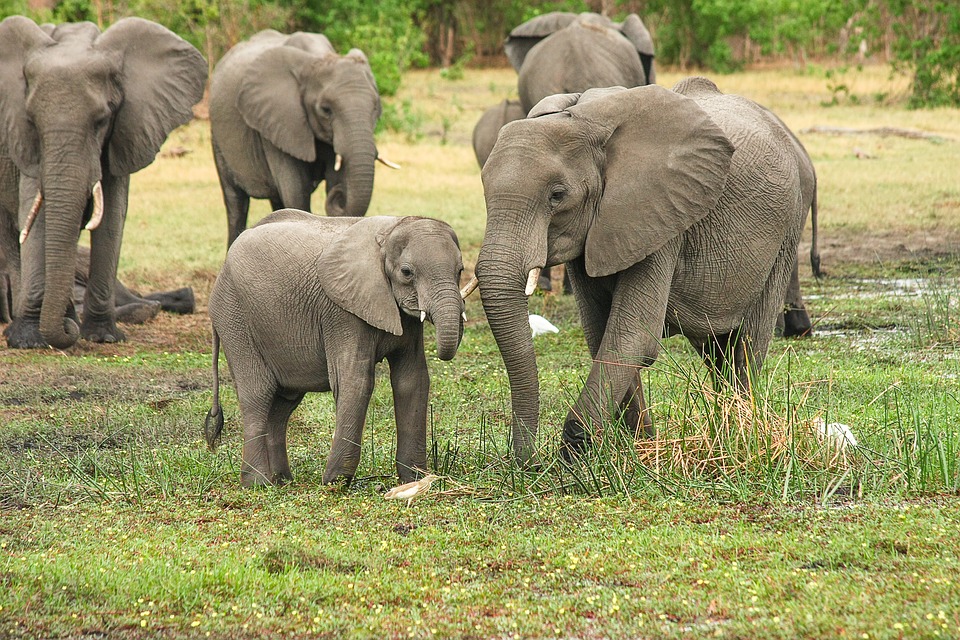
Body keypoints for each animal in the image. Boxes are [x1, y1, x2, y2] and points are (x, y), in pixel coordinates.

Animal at [0, 16, 208, 350]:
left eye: (101, 121)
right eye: (31, 121)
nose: (67, 332)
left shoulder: (125, 130)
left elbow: (112, 217)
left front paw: (102, 336)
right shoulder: (24, 142)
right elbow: (36, 214)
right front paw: (28, 340)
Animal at [204, 209, 466, 484]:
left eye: (460, 271)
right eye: (406, 272)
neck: (390, 231)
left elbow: (412, 380)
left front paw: (415, 479)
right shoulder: (342, 312)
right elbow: (355, 381)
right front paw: (335, 482)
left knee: (283, 403)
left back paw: (282, 480)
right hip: (234, 317)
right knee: (257, 394)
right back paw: (258, 484)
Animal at [209, 29, 394, 248]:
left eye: (375, 107)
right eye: (326, 110)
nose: (339, 195)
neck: (318, 58)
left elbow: (333, 178)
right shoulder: (279, 122)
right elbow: (296, 192)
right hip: (217, 137)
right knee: (236, 203)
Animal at [468, 80, 808, 462]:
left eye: (557, 195)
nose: (528, 463)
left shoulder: (660, 215)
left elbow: (632, 336)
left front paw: (575, 454)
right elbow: (601, 333)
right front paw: (639, 448)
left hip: (786, 232)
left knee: (746, 344)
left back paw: (740, 435)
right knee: (716, 351)